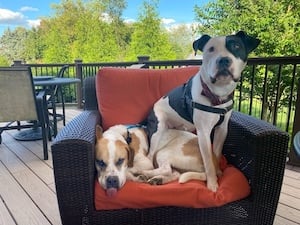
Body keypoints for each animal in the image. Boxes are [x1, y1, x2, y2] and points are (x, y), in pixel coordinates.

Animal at [146, 30, 258, 192]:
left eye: (236, 46)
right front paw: (212, 183)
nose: (223, 60)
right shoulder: (203, 132)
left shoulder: (221, 130)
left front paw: (218, 173)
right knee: (150, 157)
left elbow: (215, 155)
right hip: (157, 131)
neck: (217, 95)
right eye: (210, 49)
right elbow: (208, 161)